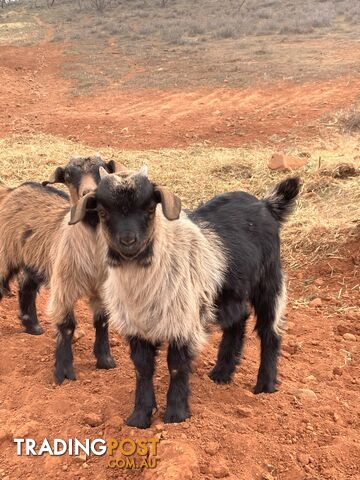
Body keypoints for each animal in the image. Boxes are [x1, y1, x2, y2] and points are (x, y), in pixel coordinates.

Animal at [0, 155, 117, 382]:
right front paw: (64, 372)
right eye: (69, 176)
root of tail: (12, 190)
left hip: (36, 260)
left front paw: (105, 361)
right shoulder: (64, 285)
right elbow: (67, 326)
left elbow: (102, 321)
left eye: (103, 170)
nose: (89, 193)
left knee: (26, 286)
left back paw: (33, 327)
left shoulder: (103, 287)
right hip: (5, 253)